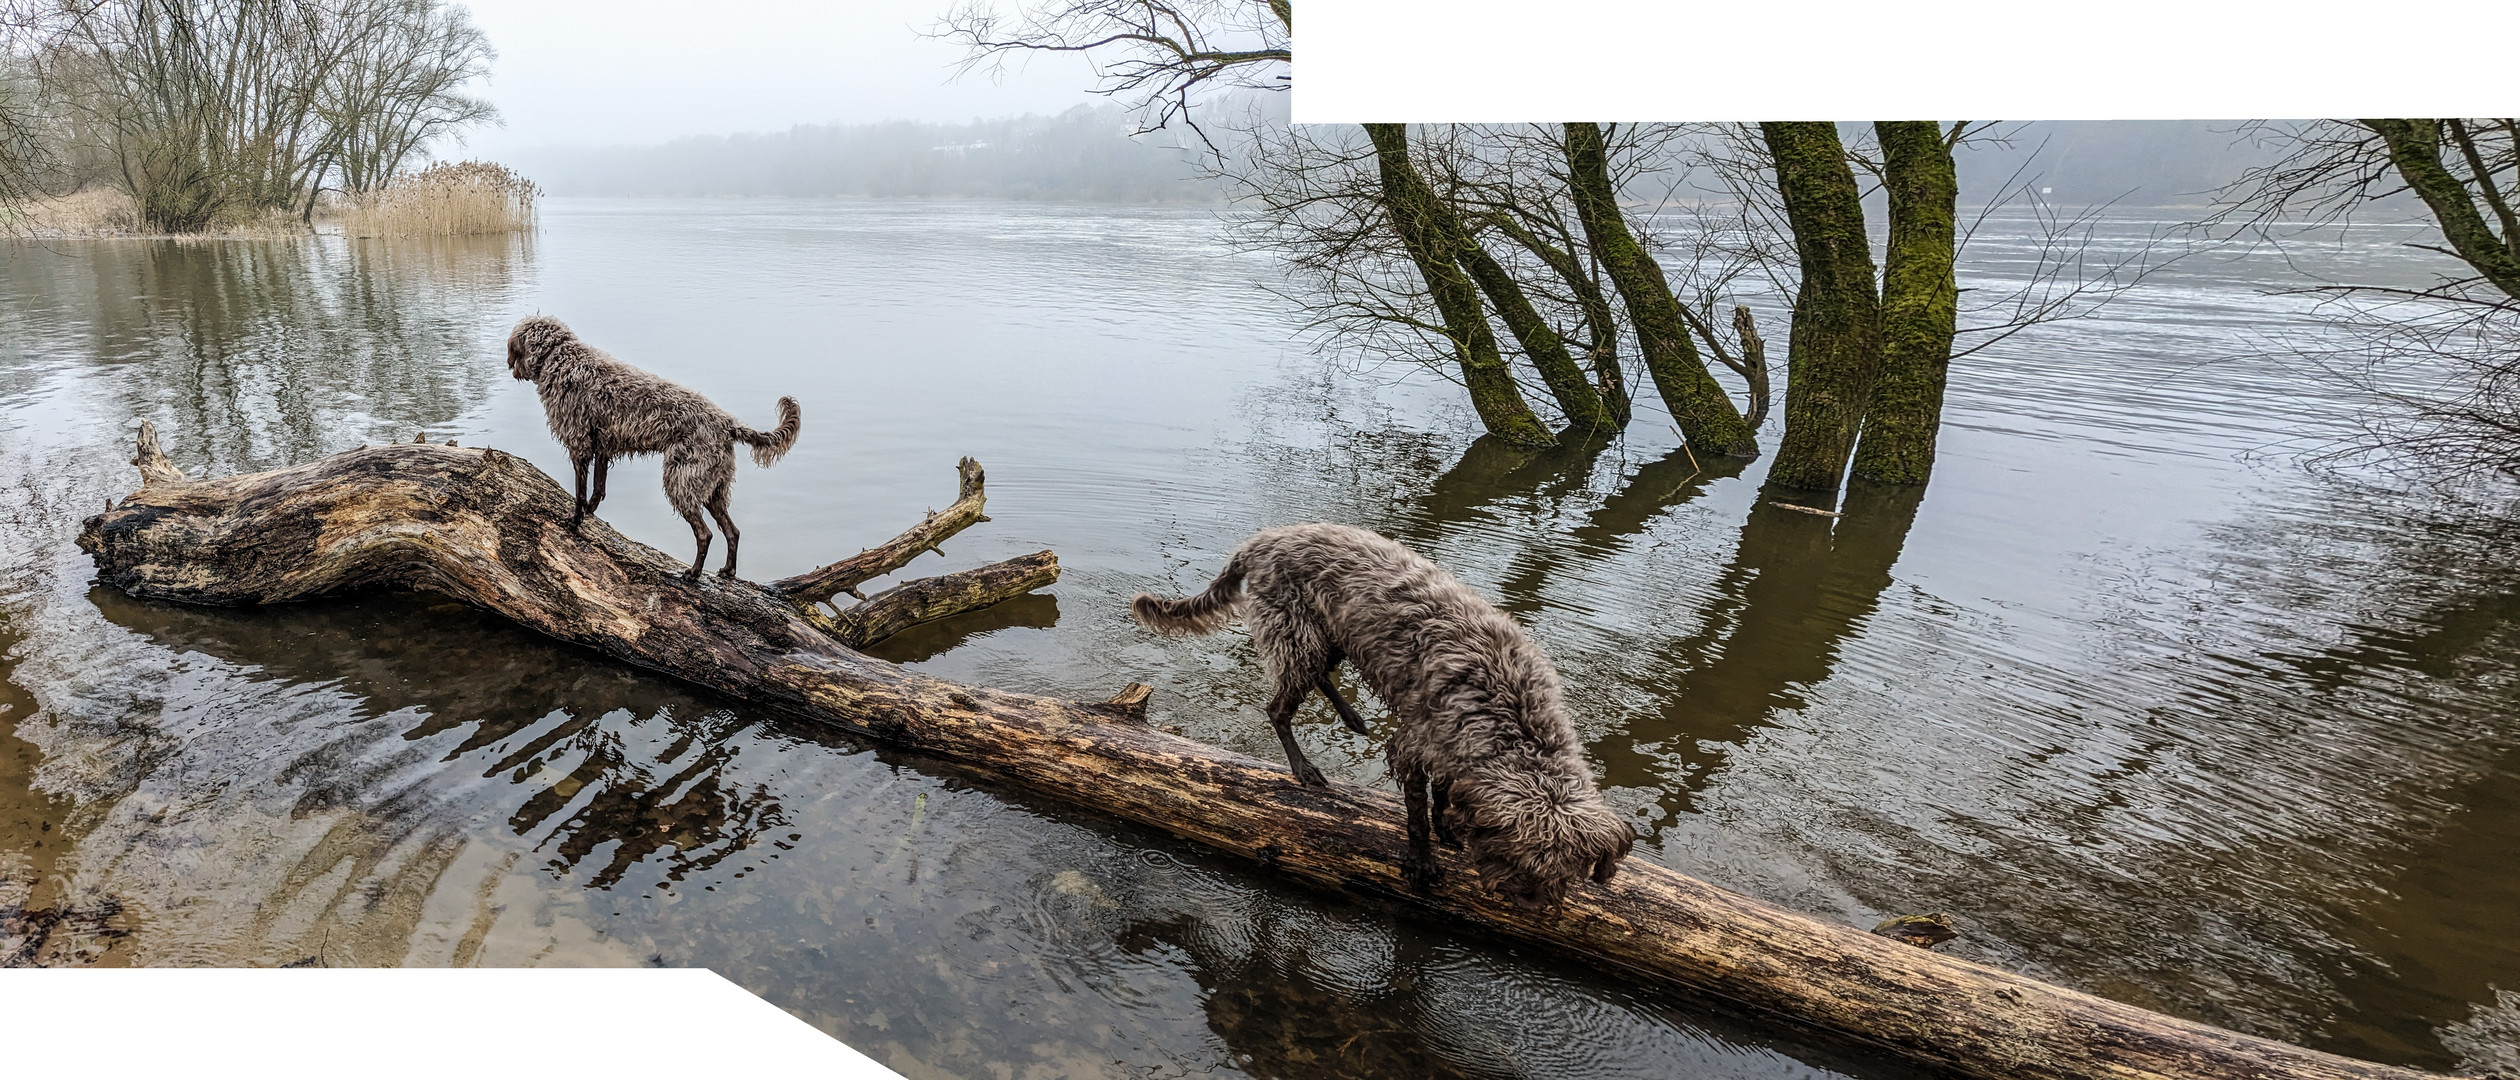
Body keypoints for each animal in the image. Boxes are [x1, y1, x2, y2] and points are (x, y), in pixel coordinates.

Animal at [504, 310, 796, 581]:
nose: (509, 365)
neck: (559, 356)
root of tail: (727, 423)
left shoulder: (580, 445)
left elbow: (580, 492)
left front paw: (575, 521)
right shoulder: (602, 448)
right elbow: (598, 489)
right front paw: (590, 512)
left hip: (682, 481)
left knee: (705, 534)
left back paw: (693, 573)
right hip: (713, 489)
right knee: (732, 531)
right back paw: (728, 570)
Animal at [1128, 521, 1632, 901]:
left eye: (1565, 871)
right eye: (1517, 858)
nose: (1527, 903)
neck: (1512, 717)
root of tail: (1264, 540)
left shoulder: (1450, 748)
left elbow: (1443, 794)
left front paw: (1448, 826)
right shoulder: (1412, 747)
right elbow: (1416, 816)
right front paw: (1423, 858)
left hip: (1332, 635)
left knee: (1318, 677)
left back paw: (1352, 718)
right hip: (1299, 636)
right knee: (1278, 709)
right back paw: (1304, 768)